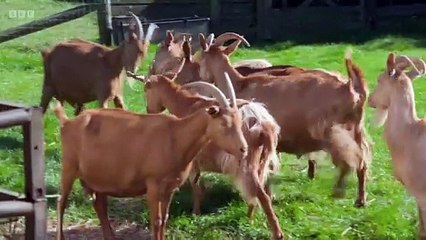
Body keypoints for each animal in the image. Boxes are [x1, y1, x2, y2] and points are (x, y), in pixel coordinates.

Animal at [53, 68, 248, 239]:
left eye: (239, 121)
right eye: (223, 123)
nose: (243, 149)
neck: (176, 136)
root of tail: (67, 123)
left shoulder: (170, 188)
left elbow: (164, 220)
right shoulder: (153, 185)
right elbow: (156, 220)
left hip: (98, 177)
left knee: (99, 204)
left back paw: (110, 236)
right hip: (68, 166)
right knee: (61, 202)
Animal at [128, 70, 284, 240]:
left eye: (146, 88)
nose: (149, 110)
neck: (187, 104)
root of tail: (263, 123)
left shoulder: (193, 160)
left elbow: (196, 186)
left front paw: (195, 213)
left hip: (246, 163)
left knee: (261, 194)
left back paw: (275, 232)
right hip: (263, 161)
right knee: (262, 189)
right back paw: (250, 218)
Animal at [197, 32, 372, 207]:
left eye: (200, 58)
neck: (238, 83)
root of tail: (351, 88)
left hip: (335, 132)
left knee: (350, 160)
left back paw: (338, 192)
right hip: (357, 130)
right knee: (362, 162)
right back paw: (360, 200)